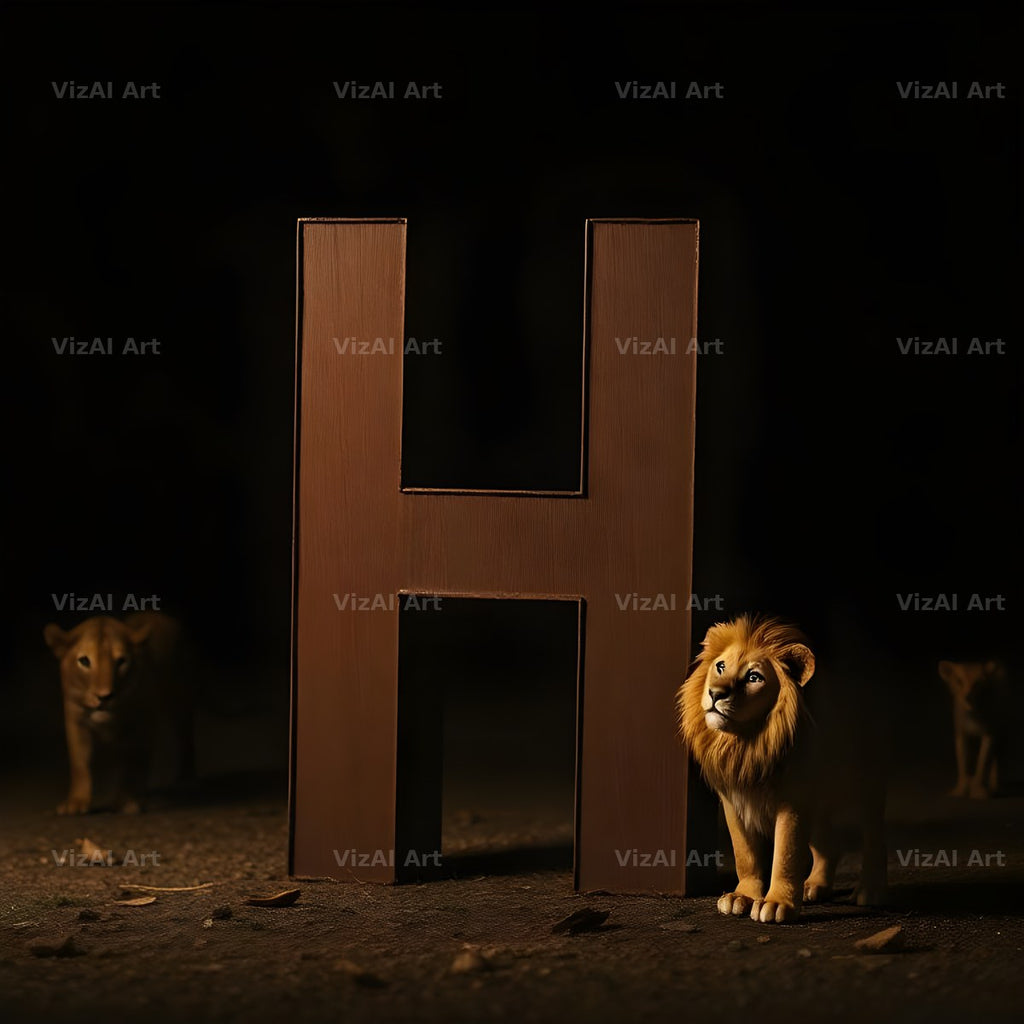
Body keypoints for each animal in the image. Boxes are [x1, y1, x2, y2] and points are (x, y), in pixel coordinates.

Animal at [43, 611, 194, 814]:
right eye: (84, 661)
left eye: (121, 661)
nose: (104, 697)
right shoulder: (76, 721)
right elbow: (80, 764)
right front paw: (76, 802)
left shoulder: (142, 722)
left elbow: (135, 762)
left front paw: (129, 801)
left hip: (180, 696)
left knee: (185, 734)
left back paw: (185, 779)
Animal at [677, 615, 887, 923]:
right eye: (720, 666)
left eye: (754, 677)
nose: (715, 693)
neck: (747, 745)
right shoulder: (733, 800)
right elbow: (745, 854)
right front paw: (743, 896)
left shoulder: (793, 803)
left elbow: (786, 855)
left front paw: (777, 904)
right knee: (830, 844)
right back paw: (815, 886)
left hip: (866, 783)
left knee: (874, 836)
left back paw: (870, 891)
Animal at [938, 659, 1008, 799]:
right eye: (959, 681)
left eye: (978, 683)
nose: (967, 696)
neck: (971, 714)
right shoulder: (961, 736)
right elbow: (962, 763)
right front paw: (960, 790)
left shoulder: (989, 736)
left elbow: (982, 763)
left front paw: (978, 791)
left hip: (1002, 734)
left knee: (996, 760)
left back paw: (995, 787)